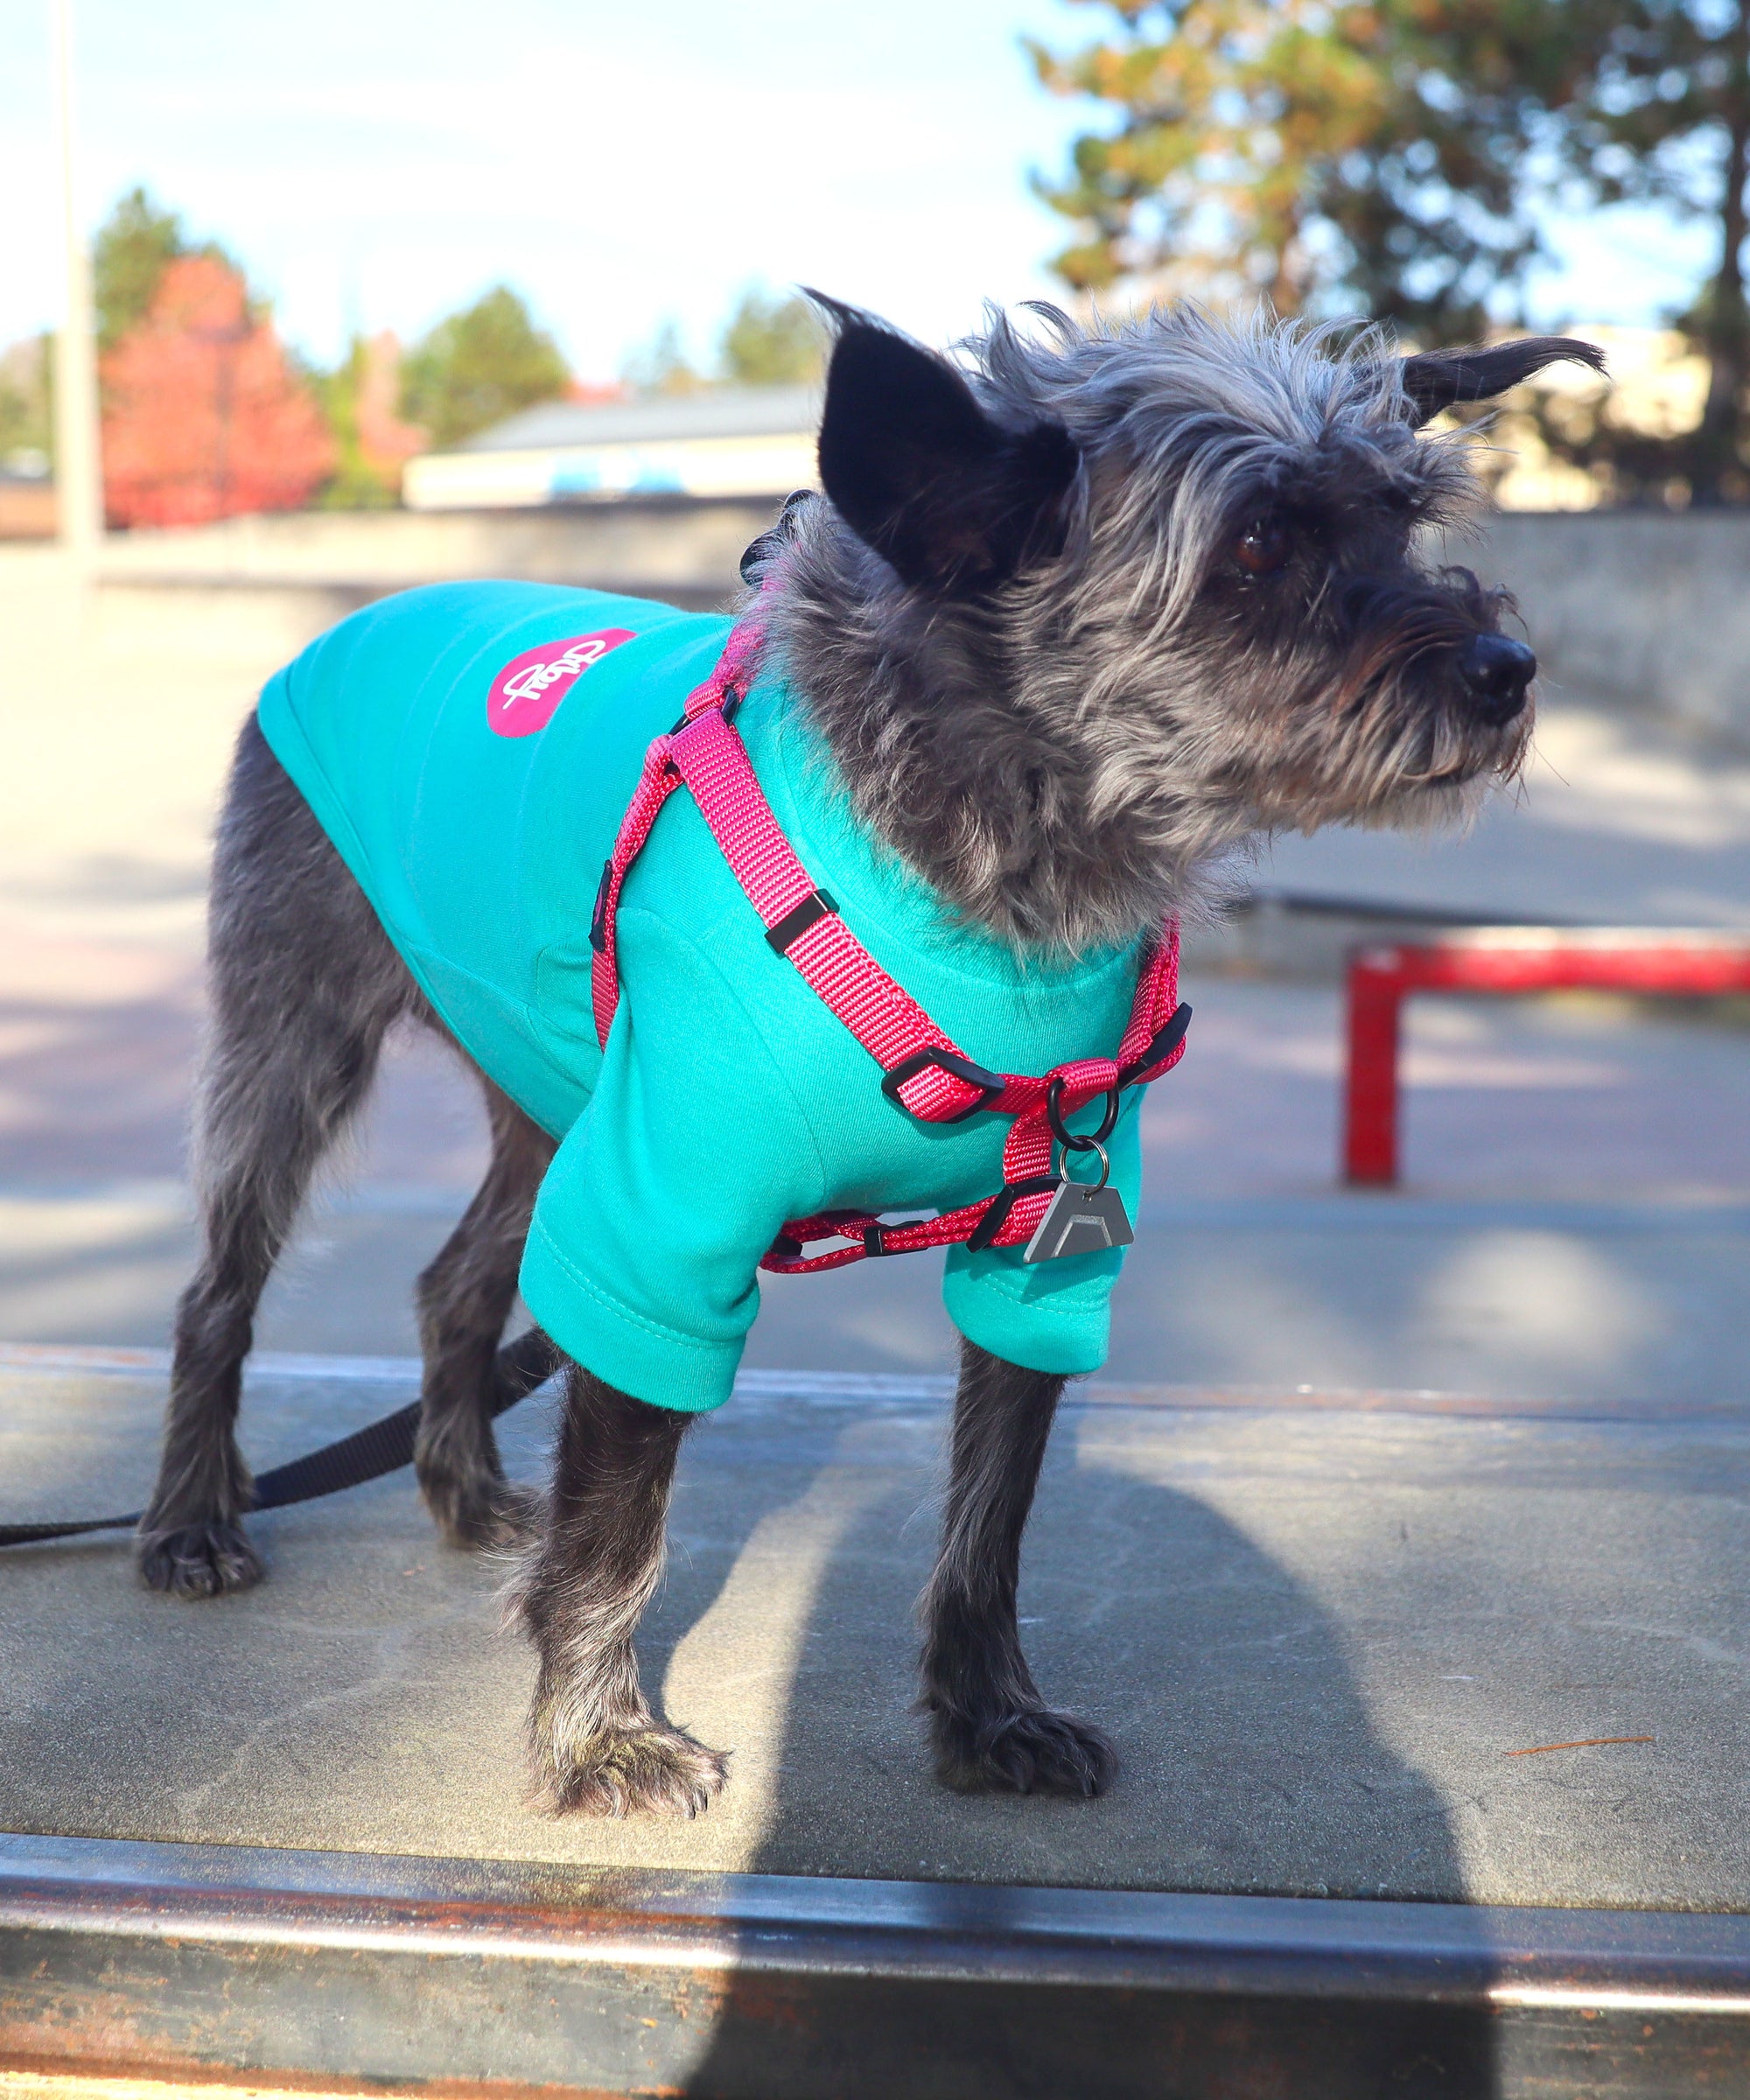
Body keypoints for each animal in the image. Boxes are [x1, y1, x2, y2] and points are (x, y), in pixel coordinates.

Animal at [143, 300, 1605, 1823]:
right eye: (1259, 542)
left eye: (1404, 518)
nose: (1506, 674)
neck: (989, 884)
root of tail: (355, 625)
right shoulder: (660, 1224)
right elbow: (618, 1526)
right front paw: (599, 1739)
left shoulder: (1048, 1251)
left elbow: (990, 1520)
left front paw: (986, 1713)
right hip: (296, 1049)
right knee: (217, 1294)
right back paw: (192, 1519)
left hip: (552, 1099)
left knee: (450, 1285)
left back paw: (463, 1491)